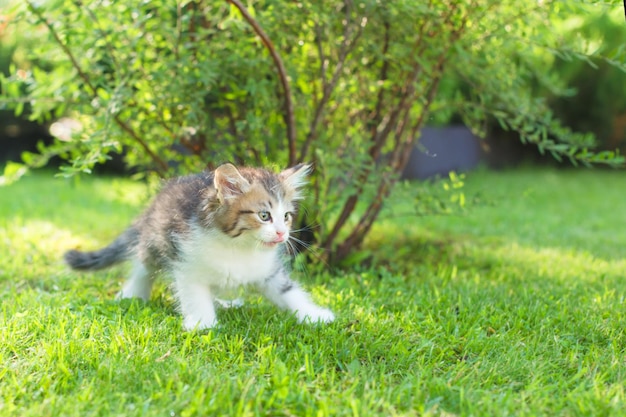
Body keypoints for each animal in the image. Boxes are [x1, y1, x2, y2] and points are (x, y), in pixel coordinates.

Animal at [65, 162, 334, 328]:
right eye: (264, 215)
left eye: (286, 216)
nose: (281, 233)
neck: (240, 247)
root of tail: (153, 204)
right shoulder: (186, 259)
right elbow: (194, 293)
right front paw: (203, 323)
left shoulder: (269, 271)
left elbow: (288, 291)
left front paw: (313, 314)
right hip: (155, 239)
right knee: (143, 267)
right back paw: (131, 295)